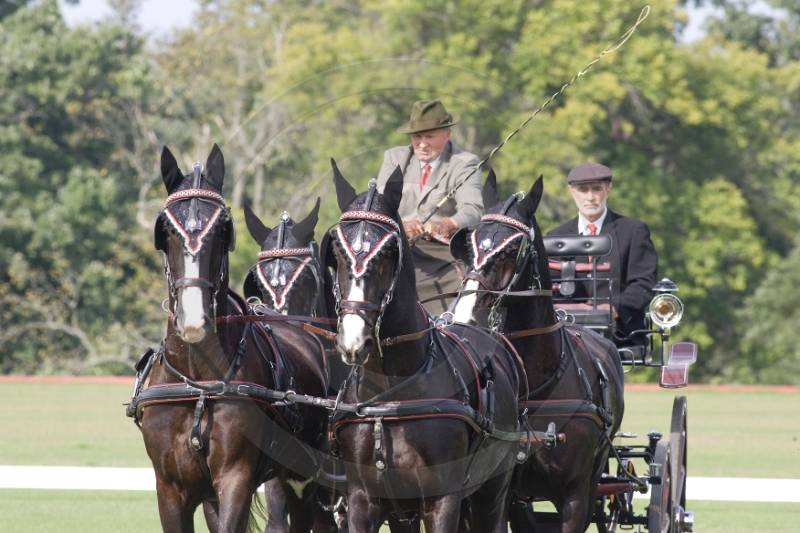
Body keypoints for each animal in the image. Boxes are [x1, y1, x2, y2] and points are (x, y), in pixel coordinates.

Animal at [132, 145, 329, 533]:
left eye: (223, 229)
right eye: (166, 229)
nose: (194, 317)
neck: (198, 380)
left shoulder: (235, 478)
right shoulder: (170, 487)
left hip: (303, 477)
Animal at [322, 160, 522, 532]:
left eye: (387, 252)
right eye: (338, 252)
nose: (353, 340)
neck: (391, 394)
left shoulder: (442, 500)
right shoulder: (362, 500)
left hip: (491, 491)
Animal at [449, 175, 625, 533]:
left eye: (511, 249)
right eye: (470, 244)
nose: (466, 312)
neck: (533, 380)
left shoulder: (575, 498)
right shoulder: (502, 494)